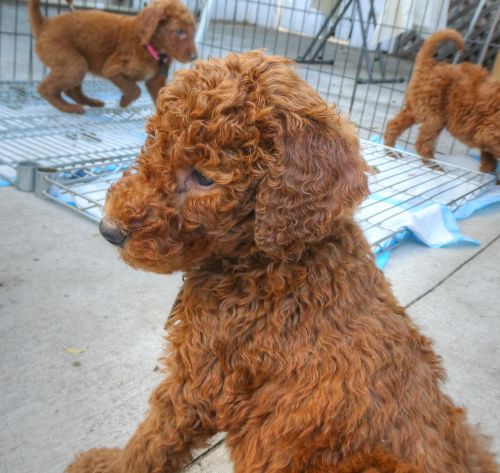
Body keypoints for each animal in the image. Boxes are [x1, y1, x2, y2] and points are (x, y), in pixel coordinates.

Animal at [26, 0, 195, 113]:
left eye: (193, 31)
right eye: (179, 32)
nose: (194, 57)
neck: (150, 47)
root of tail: (44, 24)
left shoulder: (155, 80)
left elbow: (161, 97)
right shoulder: (113, 70)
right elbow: (135, 90)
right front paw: (124, 102)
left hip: (76, 65)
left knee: (71, 91)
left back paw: (91, 102)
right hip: (74, 64)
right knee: (45, 88)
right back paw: (69, 108)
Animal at [65, 51, 496, 472]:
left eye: (204, 178)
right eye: (152, 141)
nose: (109, 229)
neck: (269, 261)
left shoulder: (203, 376)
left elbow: (155, 436)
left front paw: (108, 463)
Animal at [384, 28, 498, 174]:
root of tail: (431, 64)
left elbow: (488, 154)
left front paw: (487, 170)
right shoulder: (491, 132)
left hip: (417, 107)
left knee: (394, 124)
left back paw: (390, 151)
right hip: (434, 116)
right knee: (423, 142)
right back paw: (434, 165)